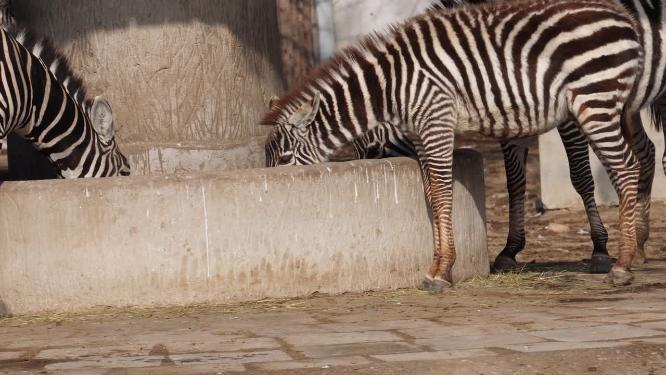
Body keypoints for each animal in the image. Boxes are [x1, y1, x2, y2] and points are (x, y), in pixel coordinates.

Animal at [264, 0, 644, 290]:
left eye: (284, 156)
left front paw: (443, 270)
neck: (391, 90)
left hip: (593, 102)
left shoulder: (437, 121)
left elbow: (445, 193)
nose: (272, 185)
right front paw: (436, 267)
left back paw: (622, 265)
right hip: (599, 106)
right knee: (628, 166)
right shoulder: (420, 134)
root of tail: (624, 20)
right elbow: (433, 195)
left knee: (626, 168)